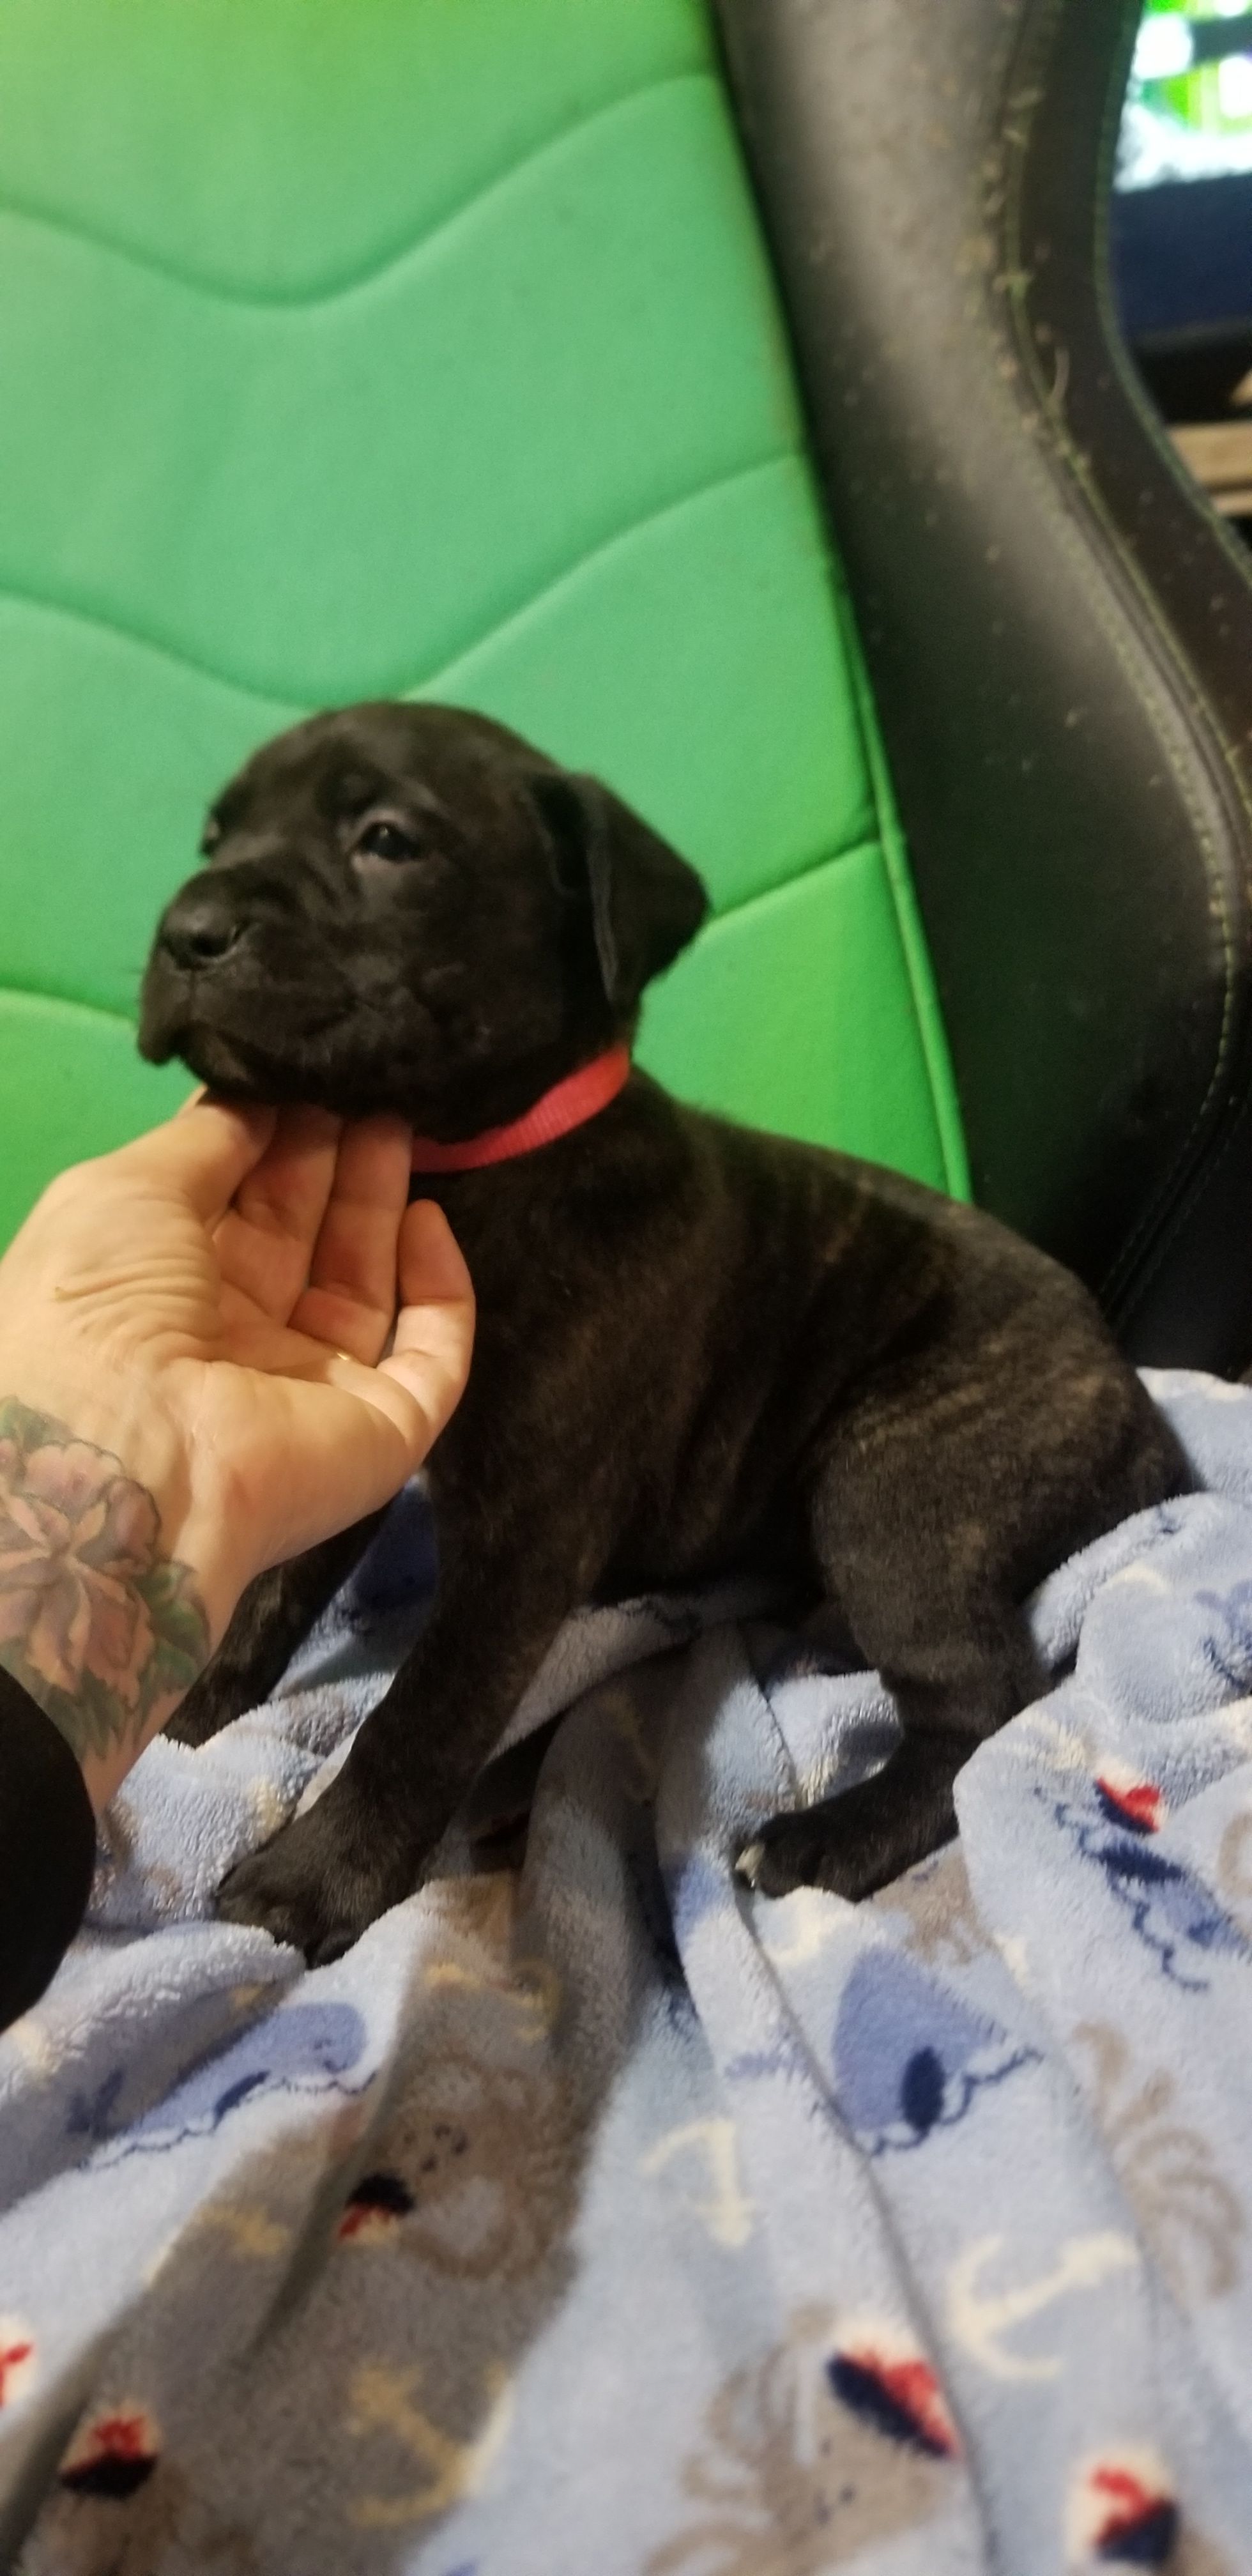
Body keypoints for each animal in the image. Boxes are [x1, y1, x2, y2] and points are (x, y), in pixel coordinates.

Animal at [138, 702, 1187, 1961]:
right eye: (212, 838)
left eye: (387, 839)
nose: (184, 931)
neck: (465, 1170)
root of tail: (1135, 1403)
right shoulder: (360, 1428)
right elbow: (272, 1596)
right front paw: (184, 1718)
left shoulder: (525, 1542)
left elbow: (421, 1712)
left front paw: (314, 1879)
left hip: (892, 1483)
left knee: (987, 1702)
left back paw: (827, 1836)